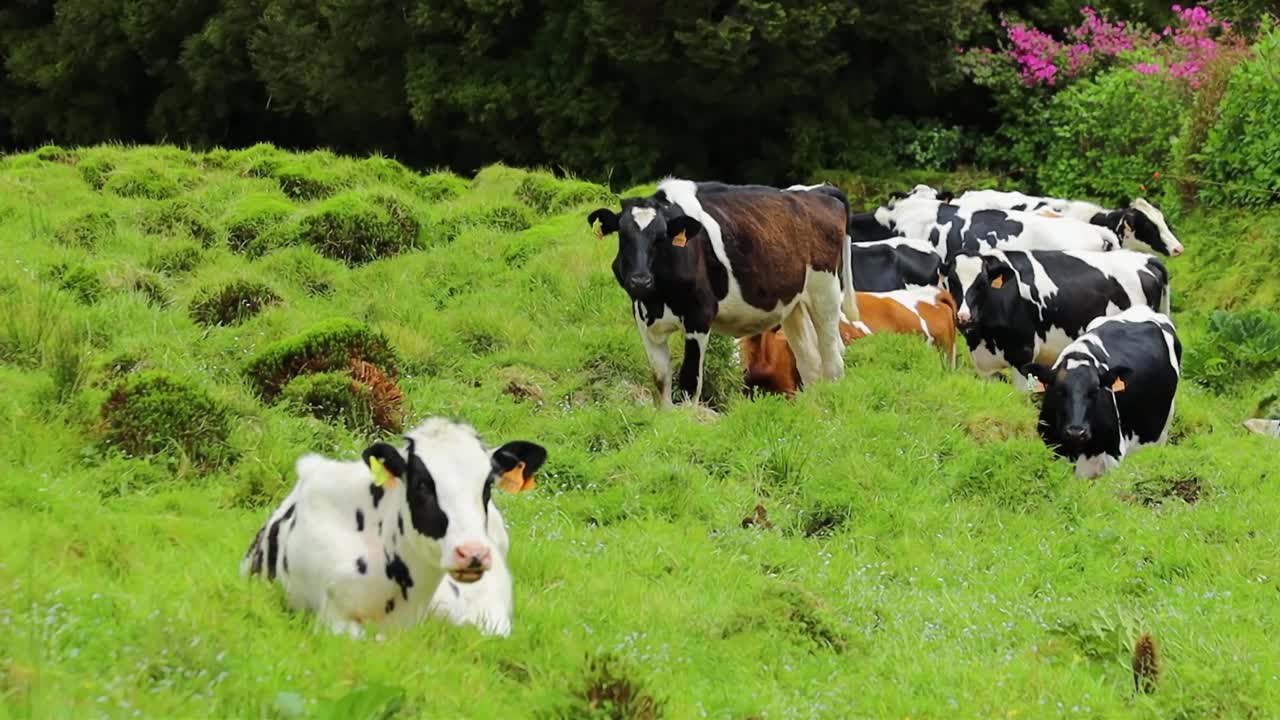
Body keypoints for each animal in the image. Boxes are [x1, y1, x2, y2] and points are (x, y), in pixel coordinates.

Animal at [588, 176, 860, 407]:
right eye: (623, 235)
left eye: (661, 236)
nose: (640, 280)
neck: (658, 298)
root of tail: (817, 190)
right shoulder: (644, 321)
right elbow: (660, 380)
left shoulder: (698, 317)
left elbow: (689, 383)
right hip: (794, 304)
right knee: (810, 363)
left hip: (825, 293)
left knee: (833, 361)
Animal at [942, 248, 1172, 392]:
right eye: (952, 282)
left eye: (982, 283)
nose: (963, 316)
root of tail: (1146, 259)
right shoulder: (983, 365)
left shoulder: (1023, 355)